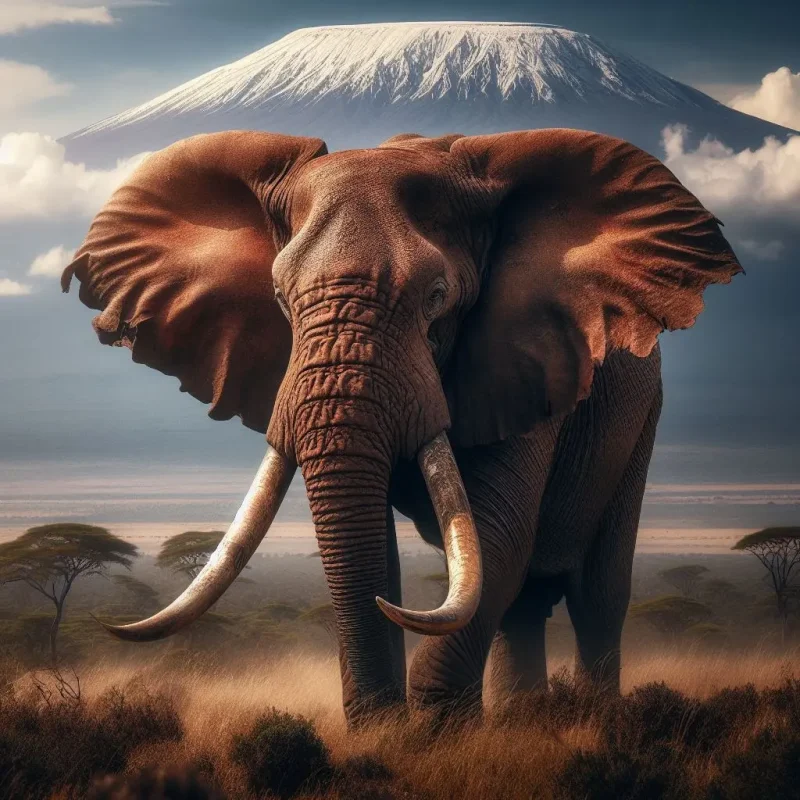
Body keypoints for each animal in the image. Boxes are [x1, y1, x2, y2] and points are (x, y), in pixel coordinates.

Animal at [62, 128, 741, 724]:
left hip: (641, 418)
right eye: (280, 298)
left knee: (598, 595)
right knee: (521, 605)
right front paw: (389, 733)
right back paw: (522, 719)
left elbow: (497, 534)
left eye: (436, 296)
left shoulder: (531, 360)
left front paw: (434, 739)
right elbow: (379, 548)